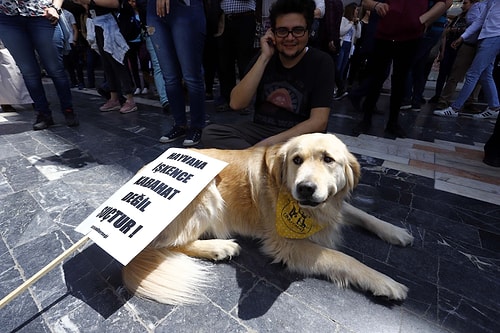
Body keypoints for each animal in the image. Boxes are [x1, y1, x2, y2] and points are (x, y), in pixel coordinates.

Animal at [124, 132, 414, 304]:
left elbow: (364, 214)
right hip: (207, 193)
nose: (305, 188)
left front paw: (395, 231)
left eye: (328, 160)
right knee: (169, 244)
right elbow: (345, 259)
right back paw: (219, 247)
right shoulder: (287, 244)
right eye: (296, 160)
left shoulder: (333, 205)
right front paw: (385, 282)